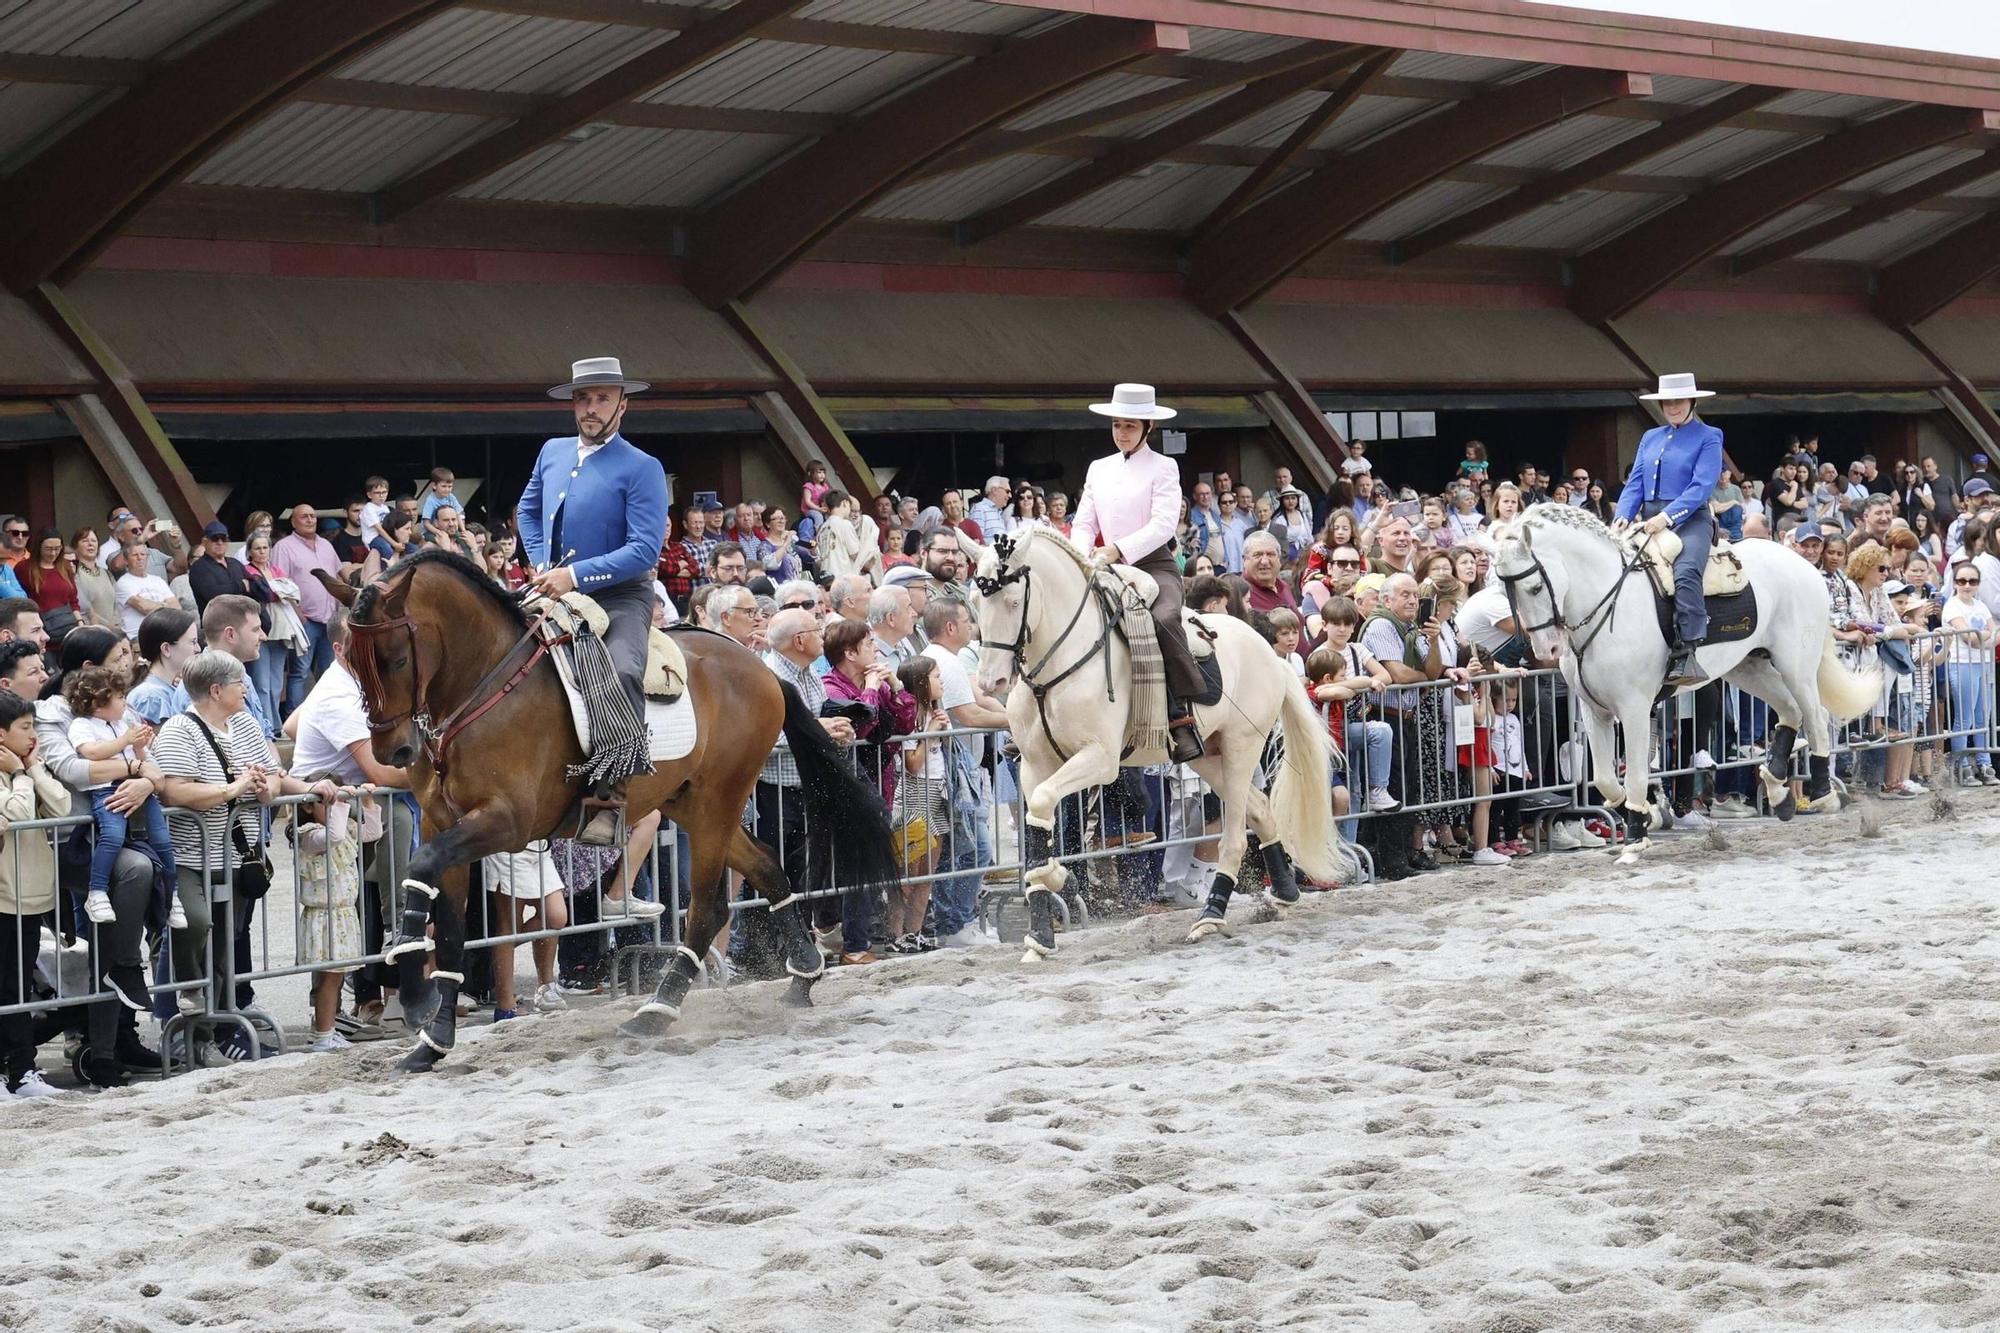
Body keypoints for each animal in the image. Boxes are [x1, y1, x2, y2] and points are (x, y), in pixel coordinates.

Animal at [314, 548, 900, 1072]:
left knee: (709, 908)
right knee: (765, 869)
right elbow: (449, 926)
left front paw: (412, 979)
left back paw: (655, 1013)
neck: (485, 687)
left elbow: (421, 869)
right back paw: (802, 977)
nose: (394, 753)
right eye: (352, 665)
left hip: (717, 801)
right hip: (691, 805)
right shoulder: (446, 823)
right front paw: (431, 1039)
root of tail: (757, 665)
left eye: (395, 659)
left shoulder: (506, 821)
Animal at [972, 524, 1344, 960]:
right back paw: (1283, 895)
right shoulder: (1034, 765)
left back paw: (1211, 916)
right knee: (1262, 811)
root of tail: (1267, 651)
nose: (990, 683)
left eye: (1014, 602)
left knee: (1236, 837)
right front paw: (1041, 932)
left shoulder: (1099, 759)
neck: (1057, 669)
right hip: (1207, 756)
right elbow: (1037, 824)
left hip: (1240, 748)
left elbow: (1046, 804)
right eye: (977, 601)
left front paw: (1053, 884)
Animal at [1496, 504, 1880, 844]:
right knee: (1791, 711)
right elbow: (1605, 779)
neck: (1608, 606)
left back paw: (1822, 792)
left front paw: (1635, 836)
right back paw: (1778, 791)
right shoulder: (1595, 710)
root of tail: (1802, 564)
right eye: (1503, 590)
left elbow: (1635, 774)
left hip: (1795, 665)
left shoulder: (1634, 708)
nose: (1546, 651)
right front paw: (1643, 815)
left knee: (1815, 716)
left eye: (1534, 588)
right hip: (1748, 667)